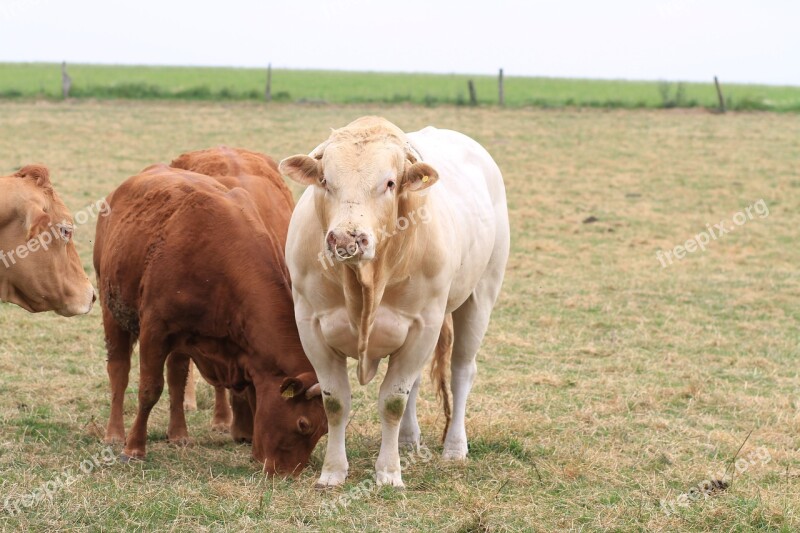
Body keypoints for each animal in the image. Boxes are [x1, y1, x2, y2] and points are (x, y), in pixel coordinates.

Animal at [94, 148, 328, 472]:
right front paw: (133, 448)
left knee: (177, 377)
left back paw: (179, 433)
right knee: (119, 370)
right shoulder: (155, 329)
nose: (286, 474)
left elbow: (247, 390)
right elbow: (149, 389)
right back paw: (114, 433)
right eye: (303, 424)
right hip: (111, 308)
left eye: (323, 431)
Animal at [280, 116, 506, 486]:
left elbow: (392, 403)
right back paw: (408, 439)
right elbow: (336, 403)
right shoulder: (311, 324)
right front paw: (333, 472)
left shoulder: (423, 324)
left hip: (481, 295)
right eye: (325, 180)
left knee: (461, 371)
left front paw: (388, 472)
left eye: (388, 183)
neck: (364, 283)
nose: (345, 239)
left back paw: (455, 447)